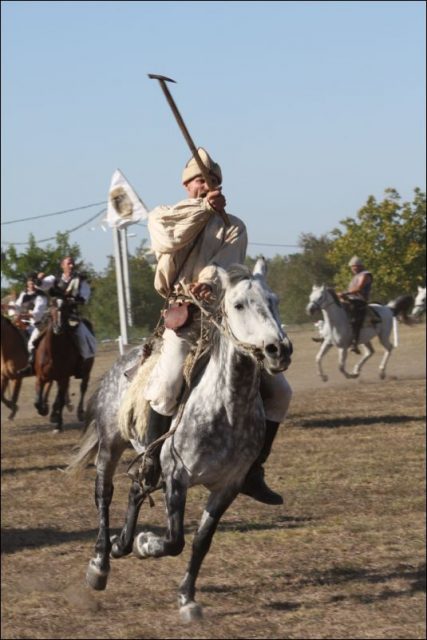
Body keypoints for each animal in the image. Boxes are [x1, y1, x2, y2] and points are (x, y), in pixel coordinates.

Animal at [34, 298, 94, 430]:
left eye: (65, 310)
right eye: (51, 311)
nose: (58, 328)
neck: (53, 352)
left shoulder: (63, 377)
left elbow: (61, 399)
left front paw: (58, 424)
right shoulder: (41, 377)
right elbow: (37, 401)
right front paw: (44, 410)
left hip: (86, 371)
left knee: (83, 388)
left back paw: (79, 412)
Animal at [67, 258, 294, 624]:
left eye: (273, 301)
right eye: (238, 304)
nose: (279, 350)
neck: (226, 410)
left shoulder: (228, 486)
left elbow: (201, 541)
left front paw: (187, 597)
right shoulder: (177, 477)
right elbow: (175, 540)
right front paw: (146, 544)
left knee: (136, 489)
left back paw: (121, 543)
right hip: (110, 446)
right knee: (104, 494)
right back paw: (100, 564)